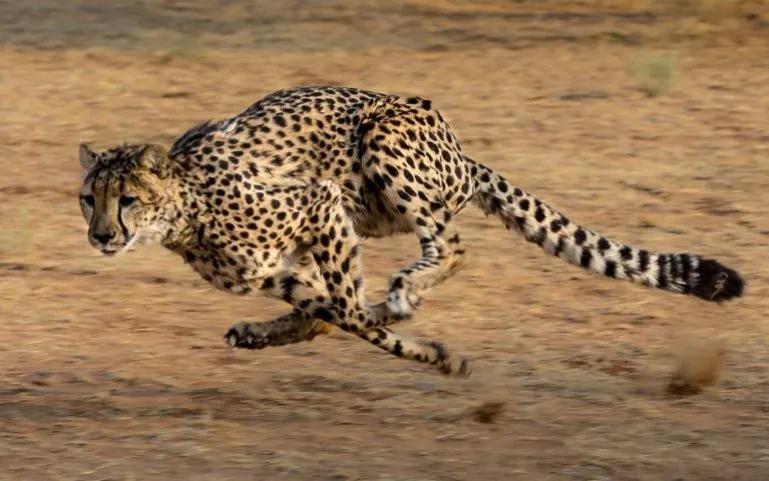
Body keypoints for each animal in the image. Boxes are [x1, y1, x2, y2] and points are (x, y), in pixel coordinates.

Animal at [78, 86, 744, 376]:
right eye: (89, 199)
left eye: (127, 200)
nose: (101, 236)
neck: (185, 208)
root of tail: (460, 150)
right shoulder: (277, 270)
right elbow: (333, 314)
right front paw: (424, 348)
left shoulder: (318, 203)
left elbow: (349, 311)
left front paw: (425, 345)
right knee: (333, 309)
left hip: (382, 144)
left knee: (451, 245)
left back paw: (404, 291)